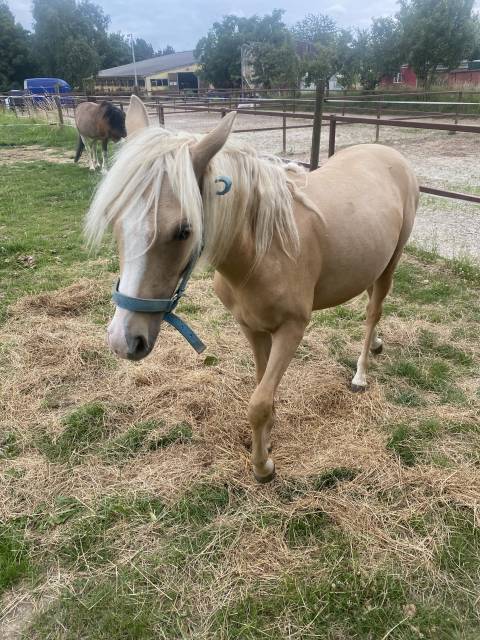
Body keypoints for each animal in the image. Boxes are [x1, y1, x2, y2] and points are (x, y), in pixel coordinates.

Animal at [85, 95, 419, 483]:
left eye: (184, 230)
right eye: (115, 220)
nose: (123, 340)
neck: (263, 250)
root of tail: (390, 154)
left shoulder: (291, 329)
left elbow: (258, 403)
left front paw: (263, 467)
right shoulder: (252, 327)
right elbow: (263, 387)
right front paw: (268, 441)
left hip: (392, 261)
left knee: (372, 312)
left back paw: (361, 373)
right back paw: (378, 344)